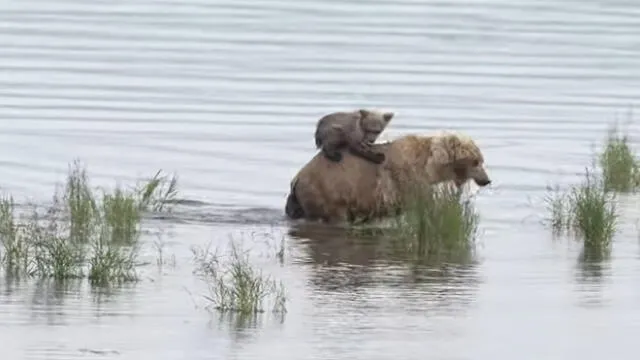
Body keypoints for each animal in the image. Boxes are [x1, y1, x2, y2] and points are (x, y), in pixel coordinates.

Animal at [284, 131, 490, 224]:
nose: (487, 180)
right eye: (475, 161)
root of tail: (297, 178)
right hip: (328, 191)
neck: (430, 166)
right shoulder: (406, 178)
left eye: (481, 160)